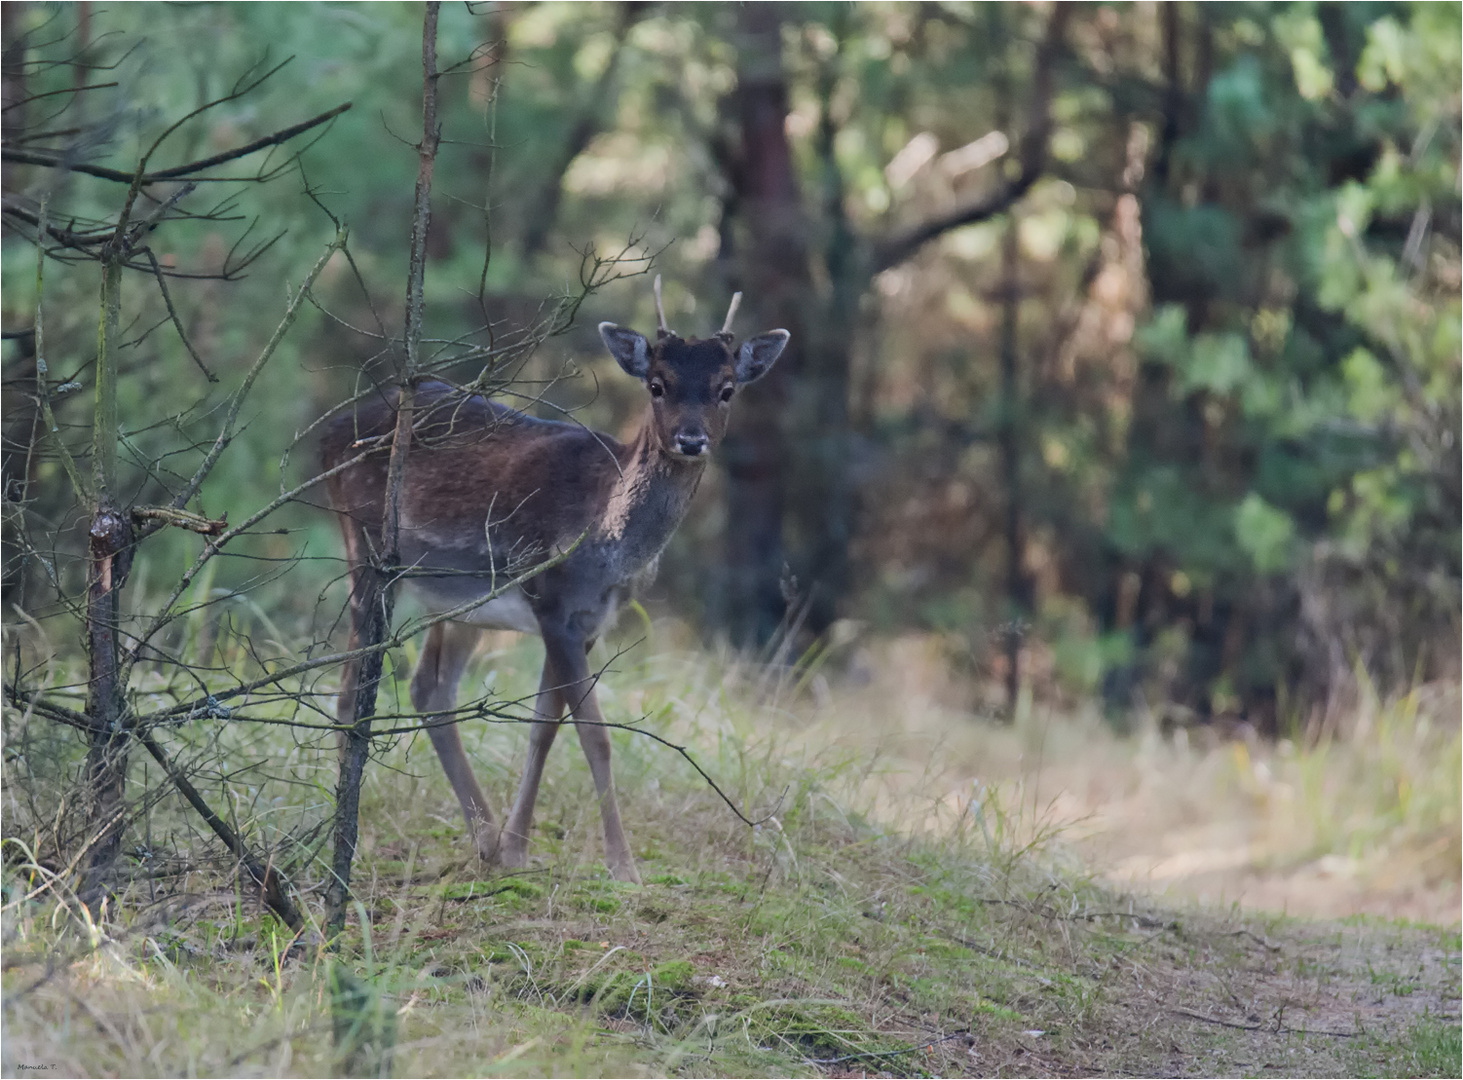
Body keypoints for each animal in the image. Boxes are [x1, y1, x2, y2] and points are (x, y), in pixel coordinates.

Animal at [321, 282, 790, 878]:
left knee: (429, 687)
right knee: (350, 689)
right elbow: (595, 735)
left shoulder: (589, 621)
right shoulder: (552, 601)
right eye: (657, 385)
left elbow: (546, 724)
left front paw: (517, 849)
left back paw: (484, 837)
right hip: (365, 547)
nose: (690, 439)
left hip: (459, 599)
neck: (607, 543)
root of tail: (330, 434)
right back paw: (345, 837)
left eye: (727, 388)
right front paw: (623, 866)